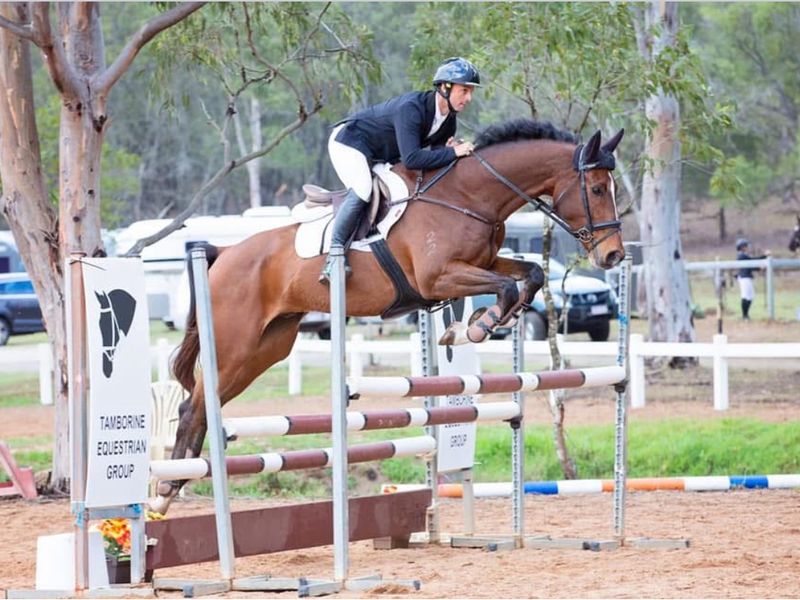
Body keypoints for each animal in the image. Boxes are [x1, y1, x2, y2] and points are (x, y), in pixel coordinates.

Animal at [150, 119, 626, 513]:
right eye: (598, 189)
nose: (613, 256)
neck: (466, 197)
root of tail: (223, 254)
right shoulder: (439, 278)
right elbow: (507, 287)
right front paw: (474, 327)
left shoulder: (484, 263)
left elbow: (530, 274)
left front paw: (475, 324)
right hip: (236, 344)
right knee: (194, 405)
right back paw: (166, 490)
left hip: (267, 347)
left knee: (204, 403)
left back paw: (175, 485)